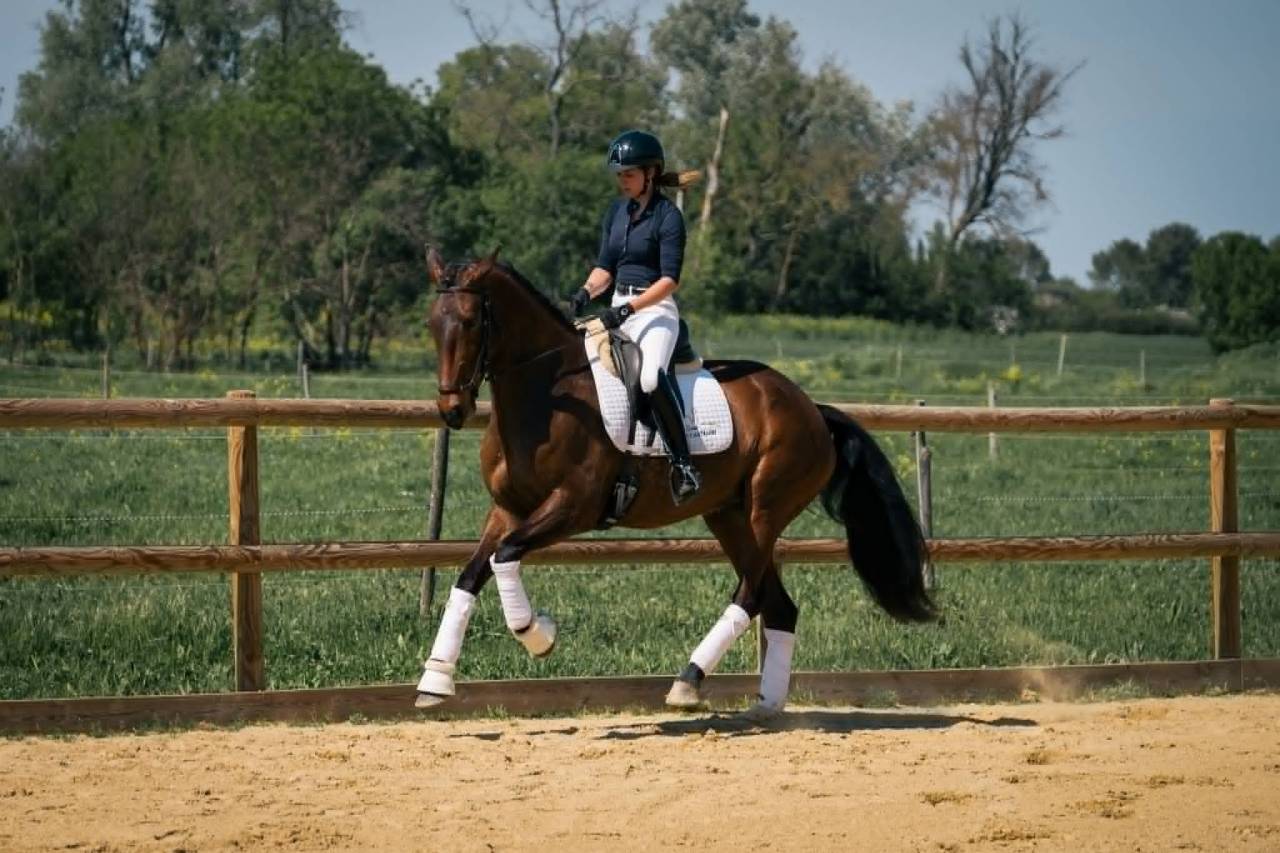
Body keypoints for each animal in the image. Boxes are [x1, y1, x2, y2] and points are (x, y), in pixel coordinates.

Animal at [416, 248, 937, 719]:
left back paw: (688, 682)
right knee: (779, 606)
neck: (548, 397)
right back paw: (765, 706)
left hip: (764, 510)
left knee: (751, 594)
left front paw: (537, 634)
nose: (452, 410)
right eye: (432, 324)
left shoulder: (572, 506)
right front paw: (436, 679)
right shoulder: (507, 509)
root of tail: (811, 408)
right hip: (728, 516)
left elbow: (505, 557)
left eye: (469, 322)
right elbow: (470, 575)